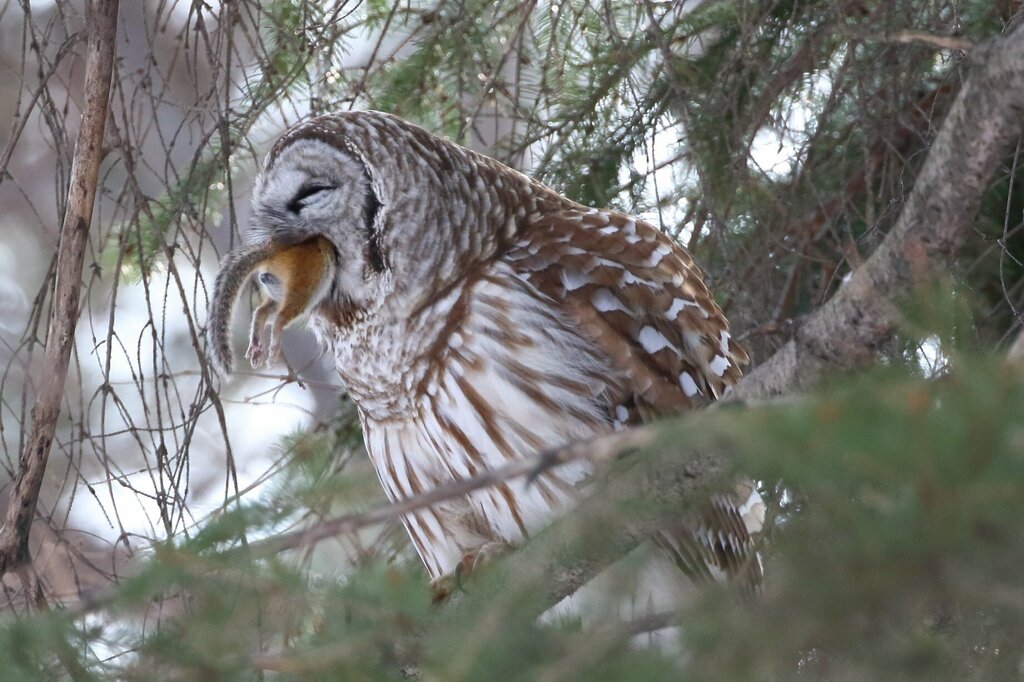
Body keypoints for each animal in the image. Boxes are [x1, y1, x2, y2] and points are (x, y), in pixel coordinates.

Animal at [208, 235, 336, 374]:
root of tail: (273, 252)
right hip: (310, 281)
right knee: (281, 317)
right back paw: (275, 344)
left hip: (277, 293)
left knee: (261, 311)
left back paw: (256, 343)